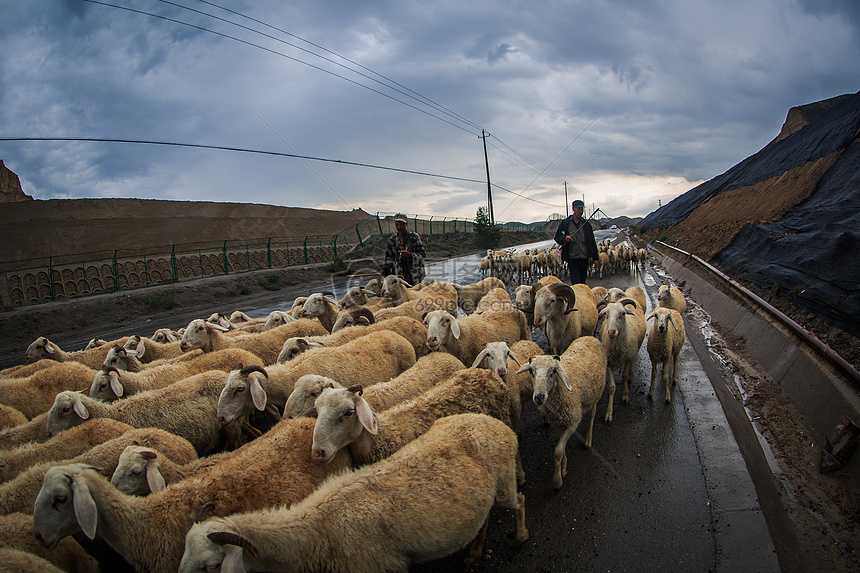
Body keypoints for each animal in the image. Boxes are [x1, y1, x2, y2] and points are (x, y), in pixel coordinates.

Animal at [181, 412, 528, 572]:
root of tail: (488, 420)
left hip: (504, 484)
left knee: (520, 501)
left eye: (211, 566)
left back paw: (521, 535)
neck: (318, 532)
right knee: (483, 518)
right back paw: (473, 553)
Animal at [512, 338, 608, 490]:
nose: (539, 397)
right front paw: (563, 467)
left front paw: (557, 481)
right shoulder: (558, 421)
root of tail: (590, 338)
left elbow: (558, 451)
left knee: (592, 414)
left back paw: (588, 439)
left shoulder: (573, 422)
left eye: (554, 371)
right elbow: (561, 445)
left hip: (595, 395)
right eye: (531, 371)